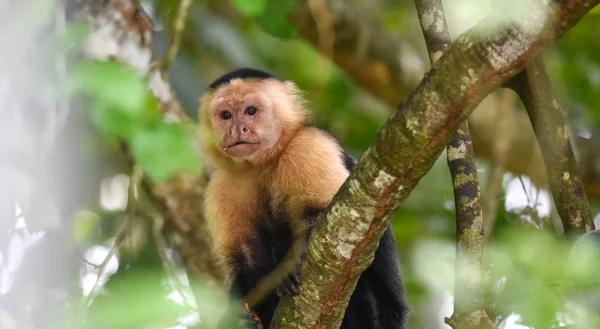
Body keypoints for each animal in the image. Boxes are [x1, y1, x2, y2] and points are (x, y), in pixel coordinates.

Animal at [199, 68, 410, 326]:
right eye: (226, 115)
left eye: (250, 111)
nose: (237, 130)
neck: (263, 163)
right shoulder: (224, 184)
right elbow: (246, 261)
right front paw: (238, 317)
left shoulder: (309, 147)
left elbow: (335, 228)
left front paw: (289, 262)